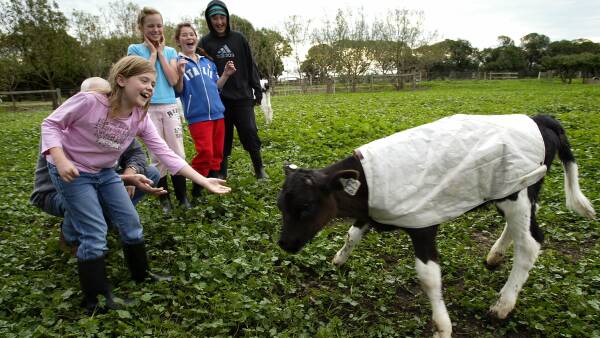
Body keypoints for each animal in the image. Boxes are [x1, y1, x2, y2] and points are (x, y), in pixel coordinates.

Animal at [278, 114, 596, 338]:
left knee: (530, 242)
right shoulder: (370, 212)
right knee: (524, 225)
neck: (368, 182)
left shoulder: (423, 224)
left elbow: (429, 277)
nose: (284, 244)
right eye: (281, 206)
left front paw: (443, 326)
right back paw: (495, 255)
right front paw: (338, 260)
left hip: (517, 192)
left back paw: (503, 305)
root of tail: (540, 118)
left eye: (305, 207)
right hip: (517, 191)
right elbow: (351, 235)